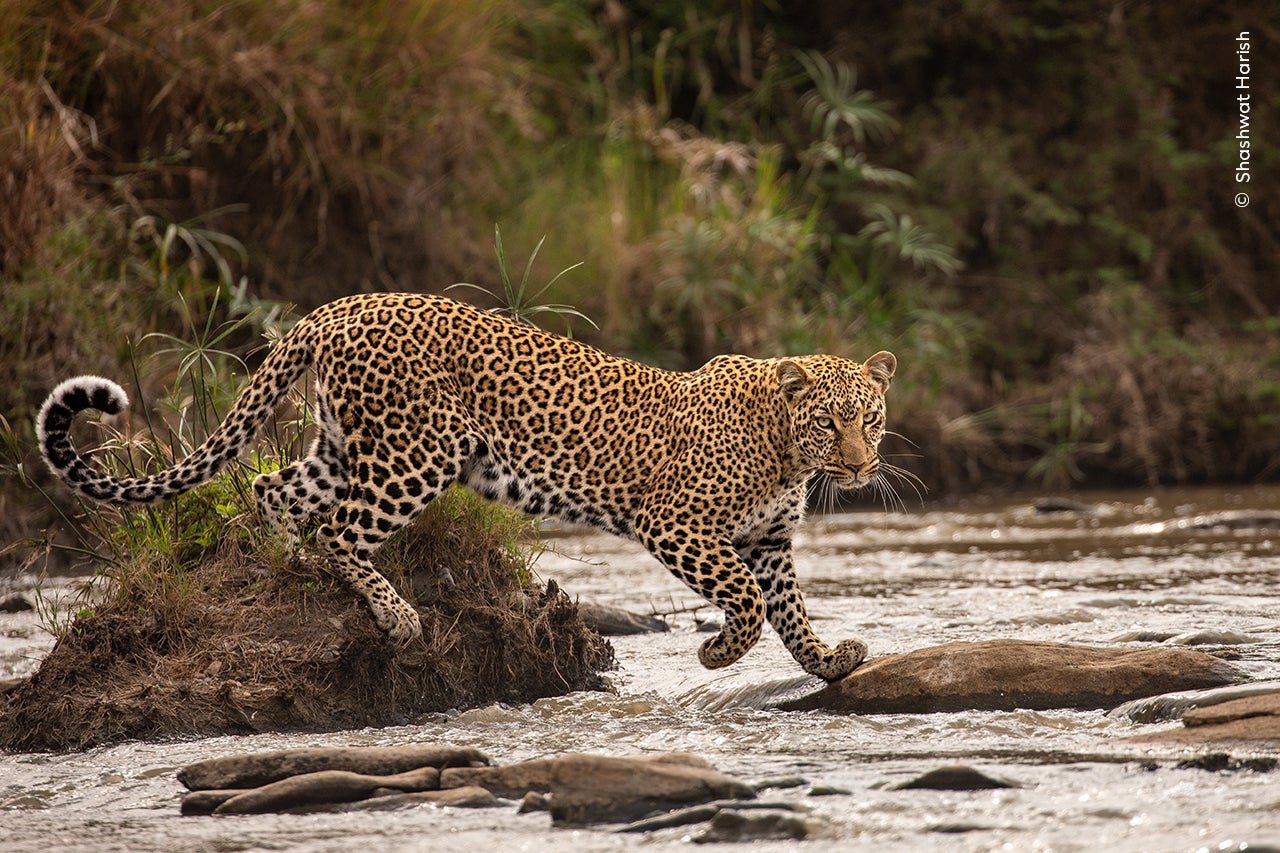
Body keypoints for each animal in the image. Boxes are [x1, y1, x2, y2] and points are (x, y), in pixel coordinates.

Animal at [38, 293, 898, 681]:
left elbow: (788, 607)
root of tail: (338, 307)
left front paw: (829, 659)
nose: (860, 466)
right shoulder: (678, 523)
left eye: (871, 417)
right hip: (416, 454)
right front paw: (718, 652)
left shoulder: (768, 538)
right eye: (830, 421)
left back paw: (289, 569)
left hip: (344, 447)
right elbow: (749, 602)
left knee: (274, 491)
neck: (786, 449)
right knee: (340, 528)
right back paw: (396, 615)